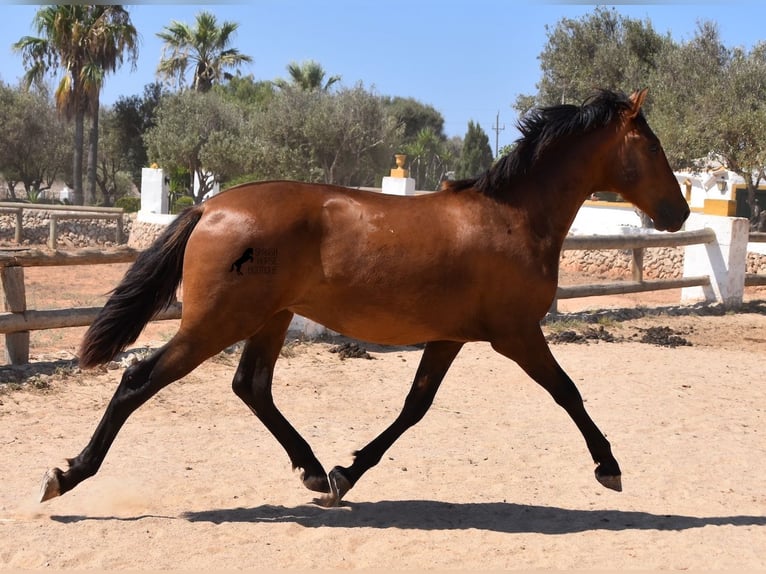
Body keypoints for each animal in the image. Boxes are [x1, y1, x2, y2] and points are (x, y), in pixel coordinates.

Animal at [40, 90, 688, 508]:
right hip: (216, 323)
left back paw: (311, 471)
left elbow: (414, 407)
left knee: (251, 386)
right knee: (139, 380)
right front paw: (609, 467)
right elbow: (568, 393)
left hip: (271, 318)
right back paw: (67, 476)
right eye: (653, 147)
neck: (513, 216)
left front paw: (345, 475)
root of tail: (210, 206)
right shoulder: (517, 334)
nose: (679, 213)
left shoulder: (450, 337)